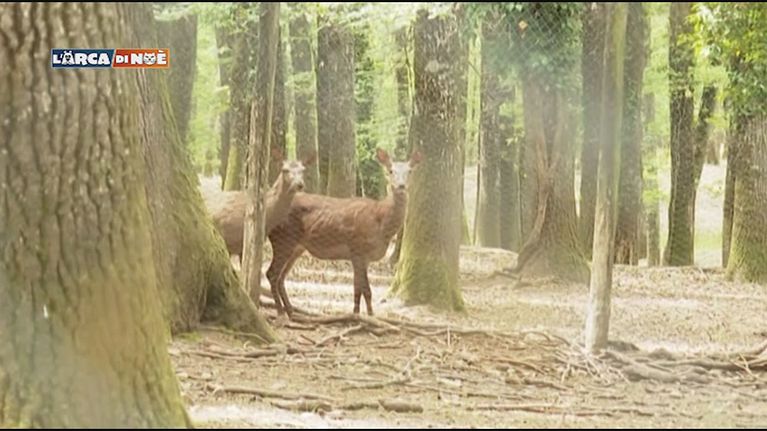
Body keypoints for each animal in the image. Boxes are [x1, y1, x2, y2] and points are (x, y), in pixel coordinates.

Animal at [266, 148, 422, 318]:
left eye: (410, 171)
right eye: (391, 170)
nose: (401, 186)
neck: (380, 223)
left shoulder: (361, 257)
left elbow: (358, 289)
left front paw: (358, 313)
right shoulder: (358, 248)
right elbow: (366, 290)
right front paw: (367, 315)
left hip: (297, 247)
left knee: (281, 277)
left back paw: (290, 310)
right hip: (282, 239)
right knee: (271, 274)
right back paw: (281, 312)